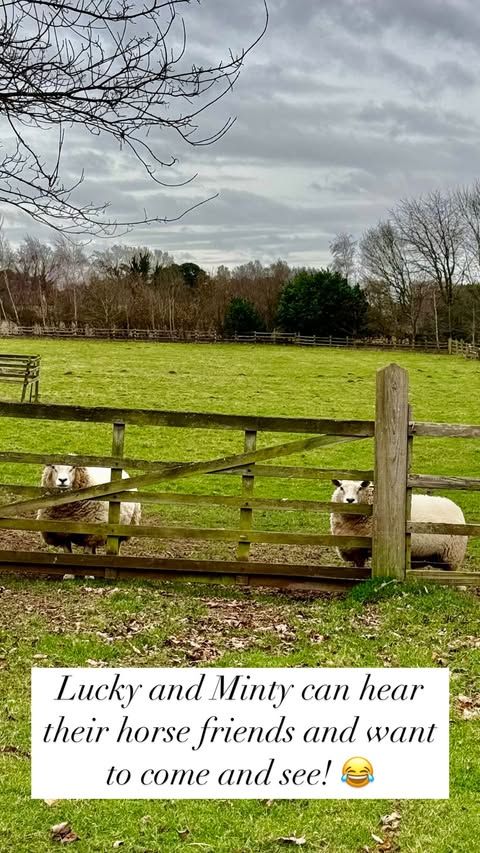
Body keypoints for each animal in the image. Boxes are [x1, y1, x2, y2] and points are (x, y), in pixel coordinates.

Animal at [328, 480, 466, 572]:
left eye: (360, 488)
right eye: (341, 488)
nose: (350, 500)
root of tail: (457, 509)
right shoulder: (356, 550)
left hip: (453, 555)